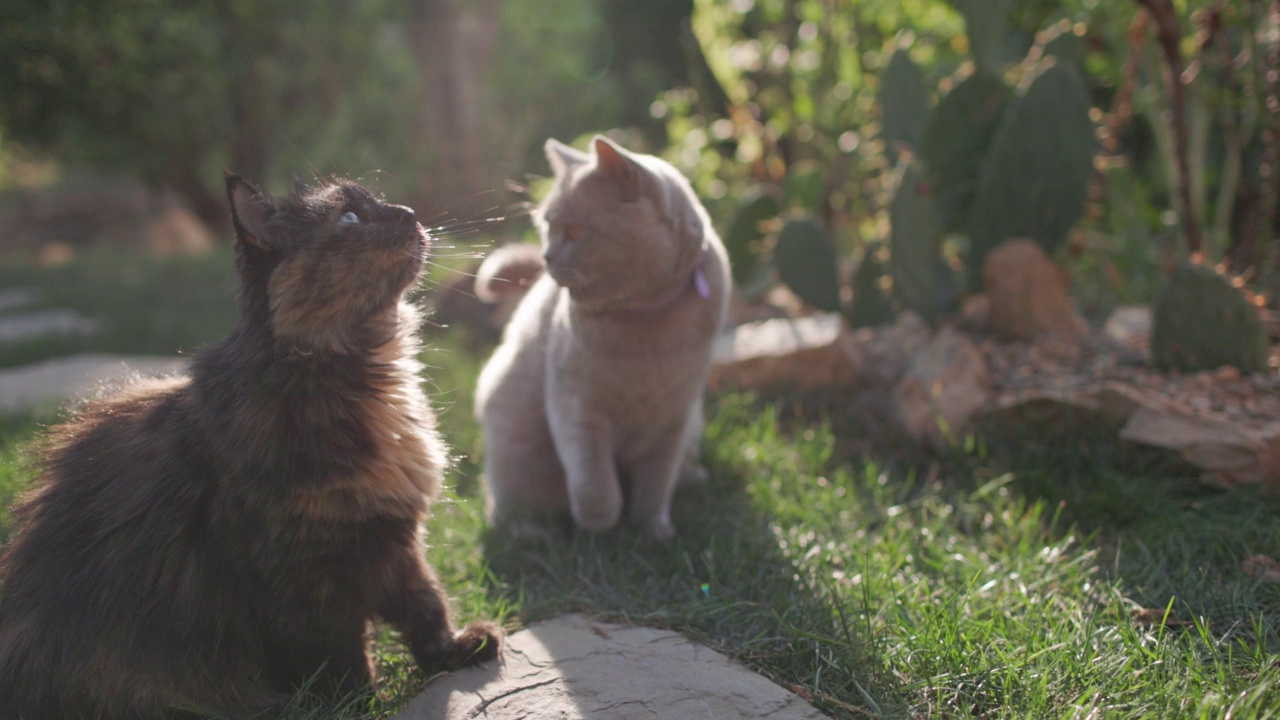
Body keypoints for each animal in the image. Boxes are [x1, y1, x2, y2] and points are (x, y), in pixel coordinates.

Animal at [0, 175, 501, 717]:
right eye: (349, 218)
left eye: (377, 201)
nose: (408, 212)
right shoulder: (303, 568)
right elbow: (339, 651)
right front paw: (361, 703)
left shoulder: (393, 538)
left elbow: (426, 606)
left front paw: (457, 652)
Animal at [473, 134, 732, 538]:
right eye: (547, 227)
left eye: (576, 232)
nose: (547, 257)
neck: (646, 327)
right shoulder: (577, 406)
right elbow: (596, 487)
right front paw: (599, 533)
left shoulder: (675, 416)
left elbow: (657, 483)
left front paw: (655, 532)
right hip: (515, 437)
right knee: (504, 502)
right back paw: (531, 532)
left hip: (693, 425)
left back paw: (693, 477)